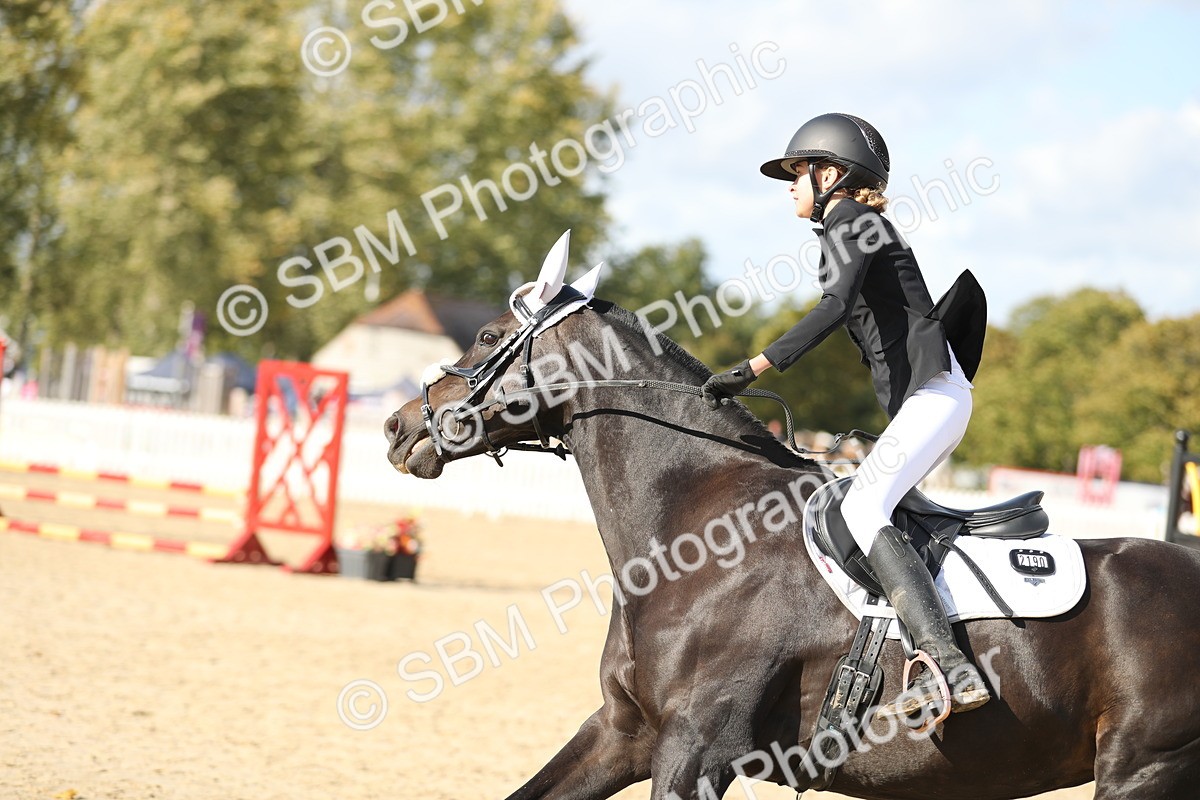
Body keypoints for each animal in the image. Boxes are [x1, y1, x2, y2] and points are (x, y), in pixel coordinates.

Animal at [384, 239, 1200, 799]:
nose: (398, 428)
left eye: (489, 338)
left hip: (1143, 770)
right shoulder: (625, 733)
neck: (695, 530)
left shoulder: (695, 749)